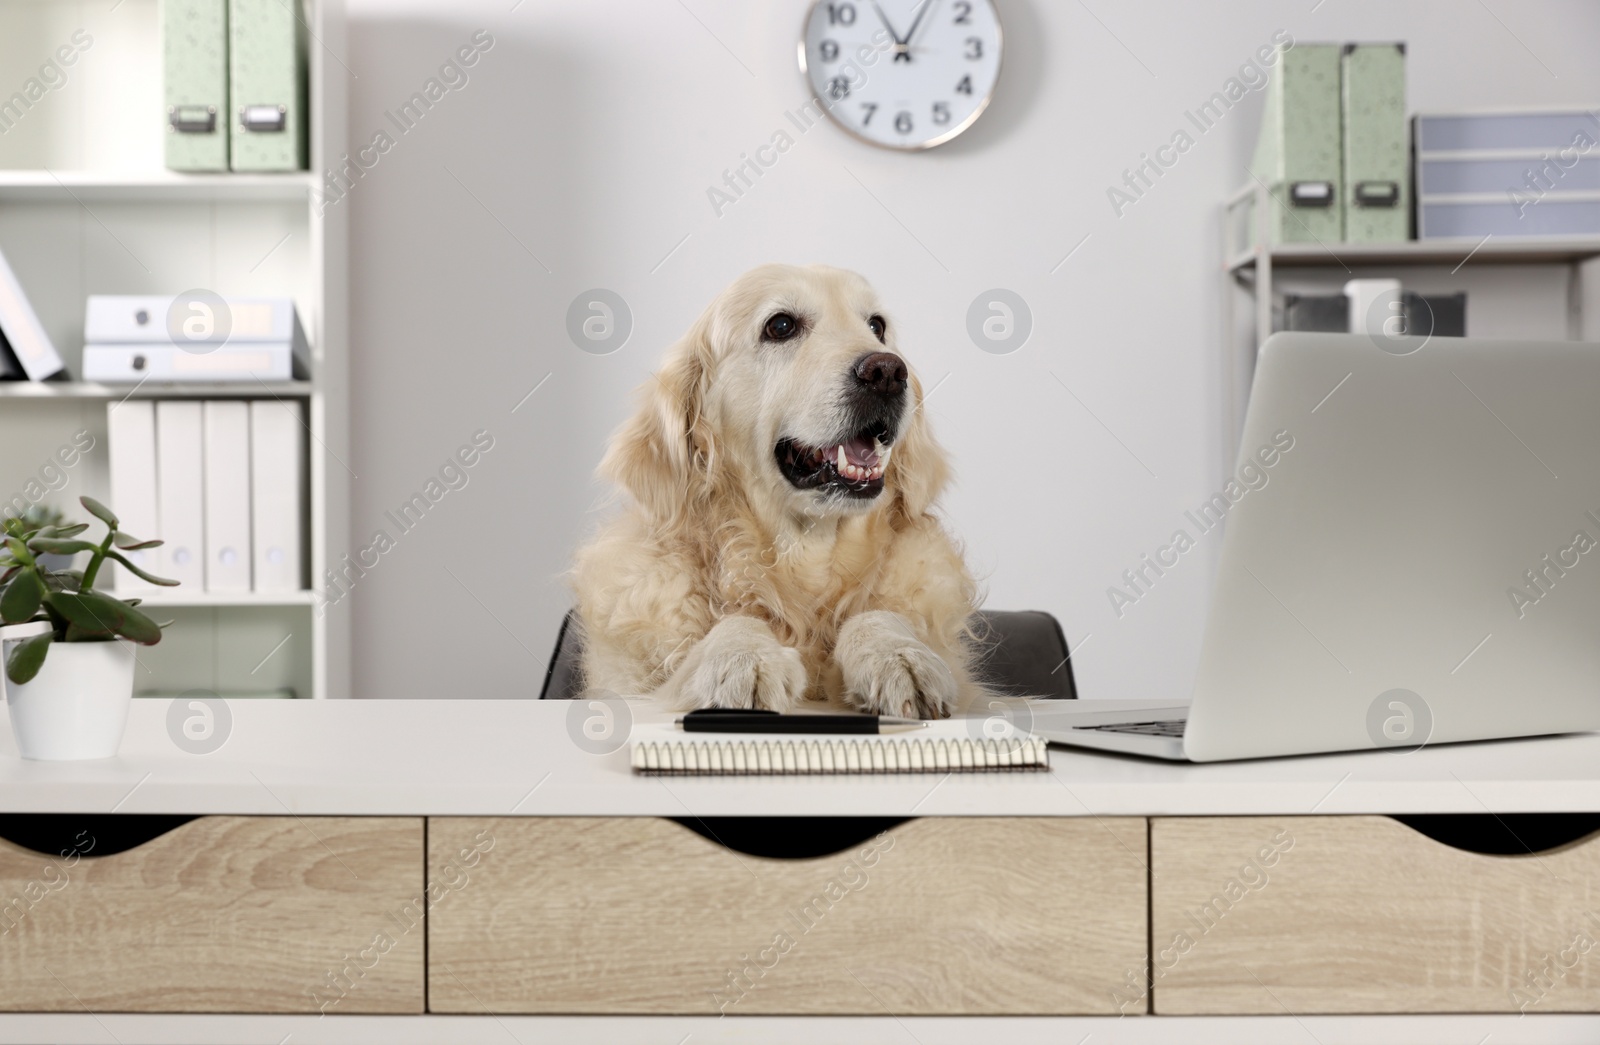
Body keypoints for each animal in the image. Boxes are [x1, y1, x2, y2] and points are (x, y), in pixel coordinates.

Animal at [569, 262, 979, 716]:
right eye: (781, 326)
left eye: (877, 326)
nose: (887, 372)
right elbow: (736, 622)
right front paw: (741, 659)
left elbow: (877, 615)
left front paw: (898, 654)